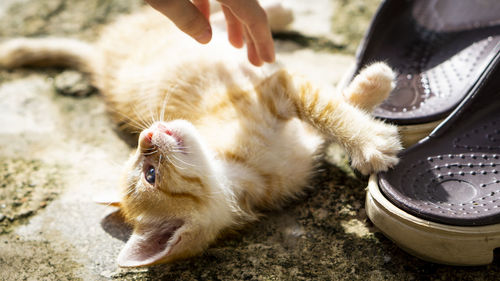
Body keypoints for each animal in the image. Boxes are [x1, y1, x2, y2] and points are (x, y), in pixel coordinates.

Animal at [0, 4, 400, 266]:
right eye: (150, 173)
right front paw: (372, 137)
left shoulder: (280, 96)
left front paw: (368, 88)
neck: (246, 171)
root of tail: (98, 58)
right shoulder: (278, 99)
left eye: (139, 162)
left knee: (217, 22)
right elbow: (327, 109)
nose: (146, 137)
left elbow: (328, 106)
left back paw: (272, 15)